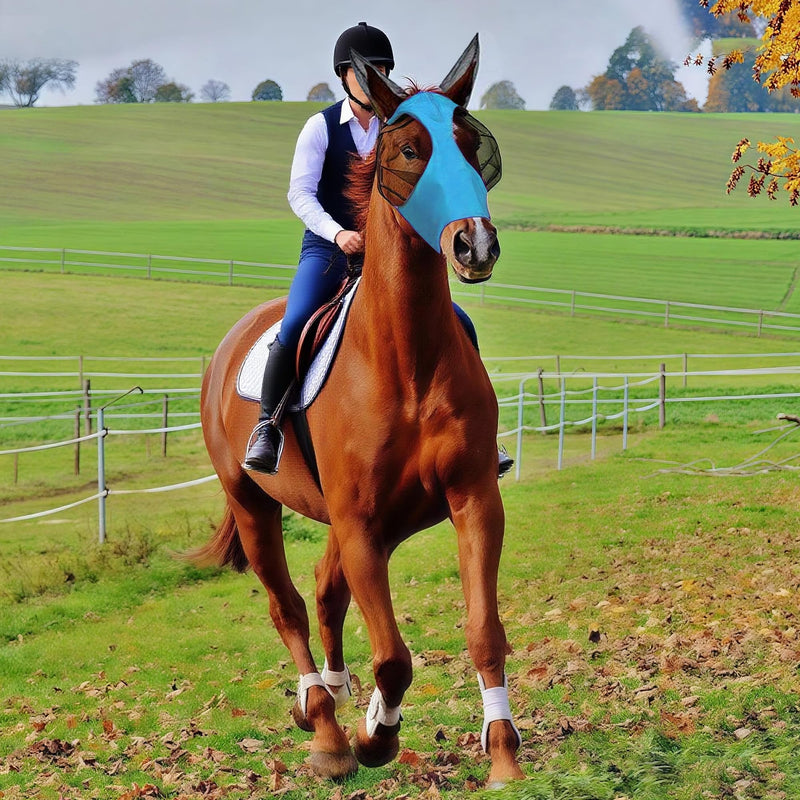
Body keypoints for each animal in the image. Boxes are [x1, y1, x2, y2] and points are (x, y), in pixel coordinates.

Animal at [194, 36, 524, 787]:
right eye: (408, 150)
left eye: (471, 143)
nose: (475, 244)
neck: (405, 360)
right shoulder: (360, 523)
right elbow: (395, 657)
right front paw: (376, 736)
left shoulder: (471, 499)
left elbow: (483, 631)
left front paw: (503, 756)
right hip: (256, 506)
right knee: (288, 606)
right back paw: (325, 726)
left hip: (382, 521)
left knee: (324, 592)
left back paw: (336, 698)